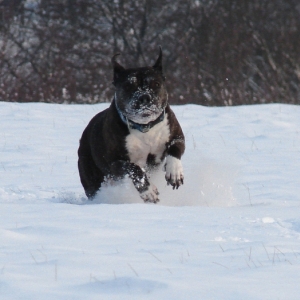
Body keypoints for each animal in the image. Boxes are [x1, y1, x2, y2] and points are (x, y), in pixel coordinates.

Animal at [77, 47, 185, 204]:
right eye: (128, 86)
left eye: (156, 84)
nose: (144, 97)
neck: (145, 127)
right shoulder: (115, 163)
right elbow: (134, 168)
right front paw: (148, 191)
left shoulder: (176, 135)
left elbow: (175, 149)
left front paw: (174, 172)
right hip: (92, 176)